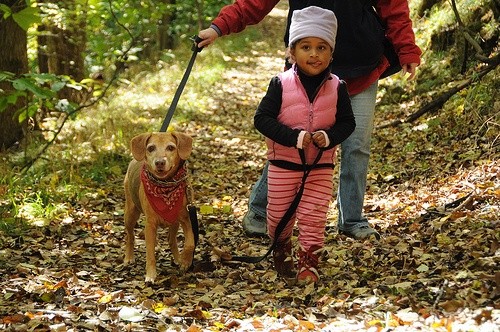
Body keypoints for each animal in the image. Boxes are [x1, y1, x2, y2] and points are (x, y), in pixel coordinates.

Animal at [123, 131, 195, 282]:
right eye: (151, 148)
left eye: (171, 147)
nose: (160, 162)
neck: (165, 187)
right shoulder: (150, 225)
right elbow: (150, 254)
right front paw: (150, 275)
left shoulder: (186, 218)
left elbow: (190, 243)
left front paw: (185, 261)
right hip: (130, 214)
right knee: (130, 236)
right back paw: (128, 257)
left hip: (174, 222)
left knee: (171, 240)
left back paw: (178, 259)